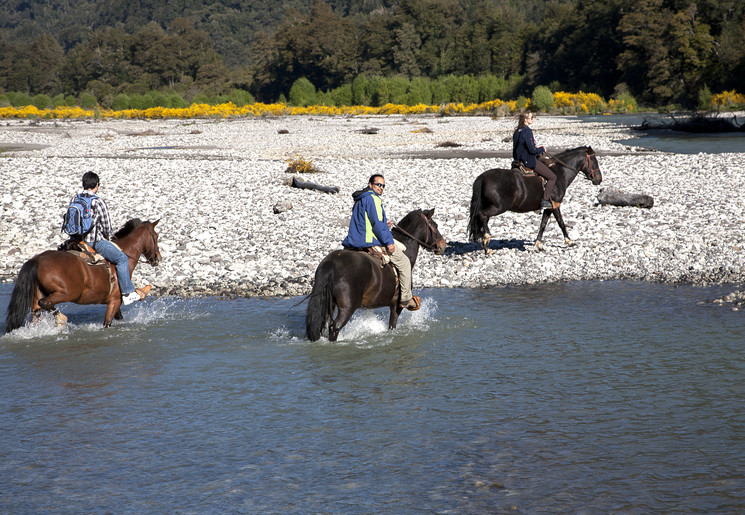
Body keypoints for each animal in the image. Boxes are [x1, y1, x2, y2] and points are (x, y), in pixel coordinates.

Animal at [5, 219, 161, 334]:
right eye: (156, 236)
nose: (158, 258)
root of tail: (37, 259)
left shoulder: (115, 302)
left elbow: (119, 318)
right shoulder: (114, 301)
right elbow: (107, 323)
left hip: (38, 295)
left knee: (36, 313)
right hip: (67, 293)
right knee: (45, 303)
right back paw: (61, 319)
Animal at [306, 208, 444, 344]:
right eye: (435, 226)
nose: (443, 245)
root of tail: (332, 262)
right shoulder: (396, 305)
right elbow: (392, 325)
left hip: (329, 304)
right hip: (347, 307)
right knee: (335, 327)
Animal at [468, 146, 600, 253]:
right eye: (594, 160)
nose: (599, 179)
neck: (560, 172)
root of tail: (483, 177)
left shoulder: (548, 207)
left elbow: (543, 224)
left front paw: (538, 244)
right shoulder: (555, 205)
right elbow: (561, 222)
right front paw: (569, 241)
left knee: (481, 219)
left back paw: (486, 245)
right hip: (498, 207)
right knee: (482, 215)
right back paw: (487, 238)